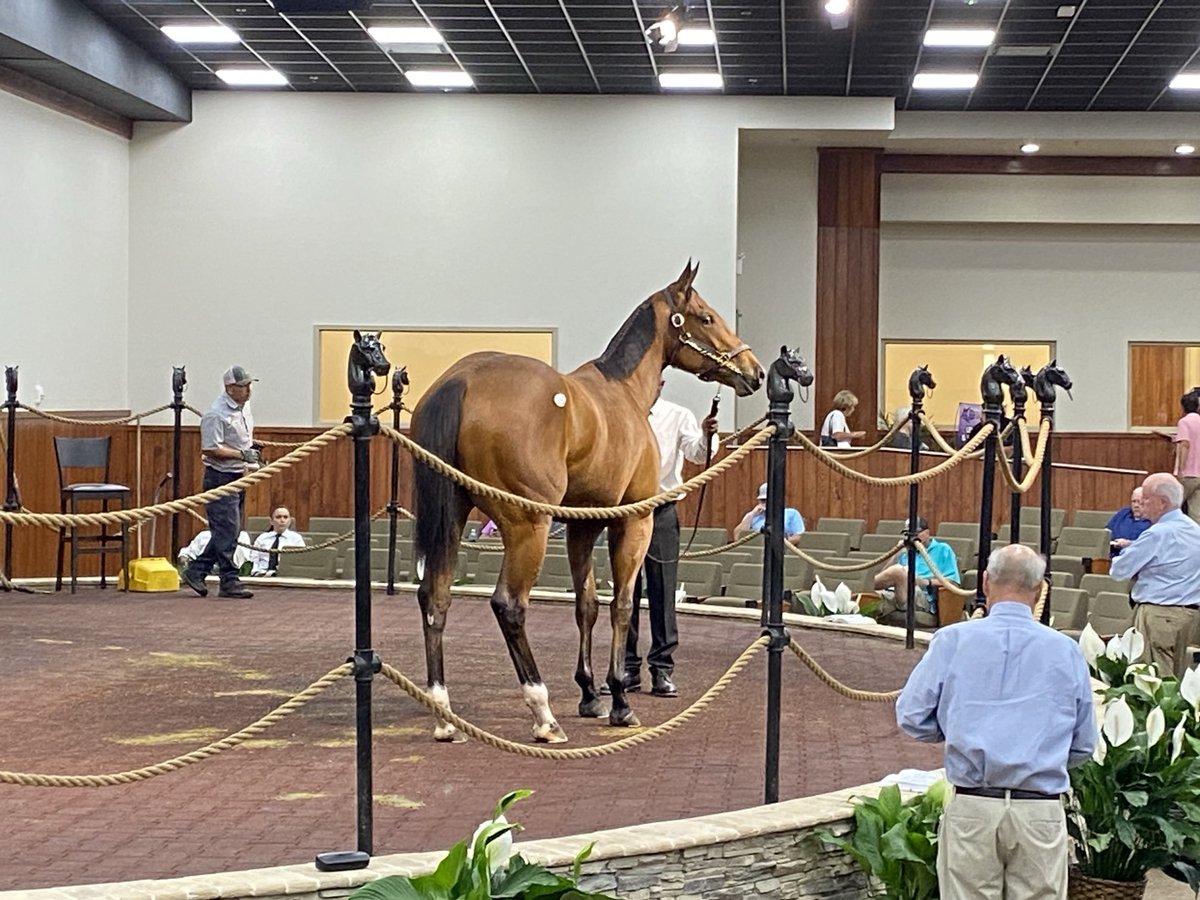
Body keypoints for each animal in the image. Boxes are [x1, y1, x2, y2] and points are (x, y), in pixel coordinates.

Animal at [408, 264, 753, 744]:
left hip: (454, 517)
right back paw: (543, 714)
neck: (623, 393)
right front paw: (620, 699)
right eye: (706, 317)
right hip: (528, 526)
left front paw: (590, 694)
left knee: (434, 597)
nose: (754, 371)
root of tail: (462, 379)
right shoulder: (634, 520)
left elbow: (585, 604)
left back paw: (444, 714)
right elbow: (622, 605)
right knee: (509, 605)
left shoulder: (582, 524)